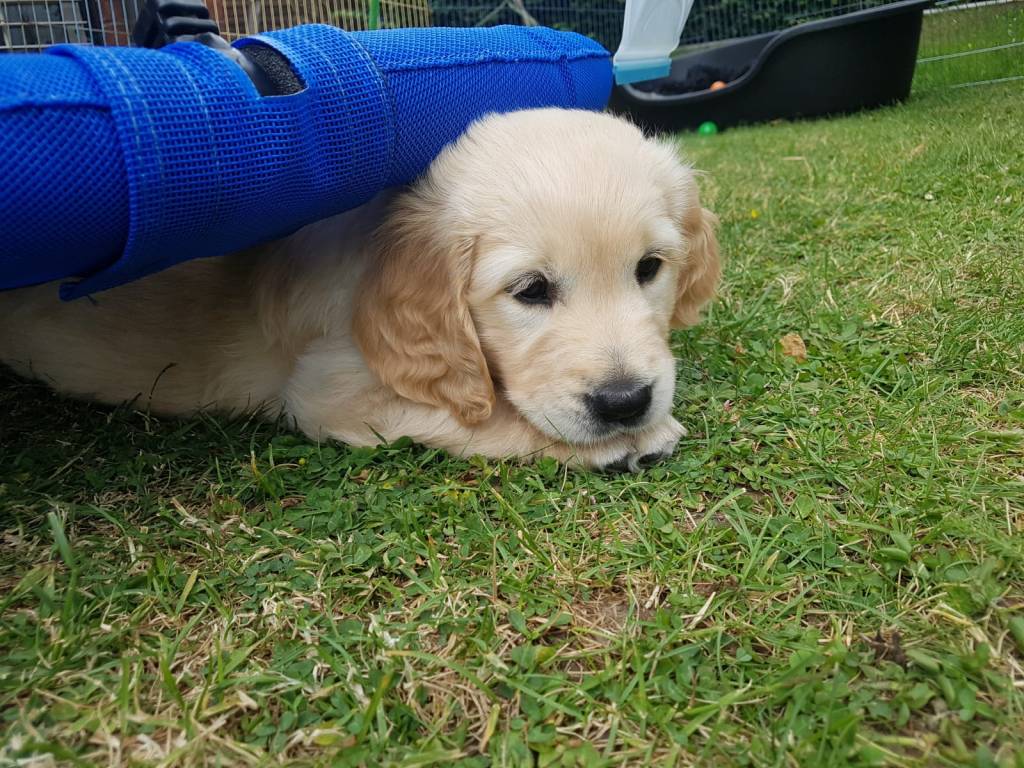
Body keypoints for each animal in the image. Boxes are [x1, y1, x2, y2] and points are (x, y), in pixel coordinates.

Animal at [0, 108, 720, 471]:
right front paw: (625, 442)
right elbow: (483, 416)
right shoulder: (328, 389)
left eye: (649, 268)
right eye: (530, 290)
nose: (626, 402)